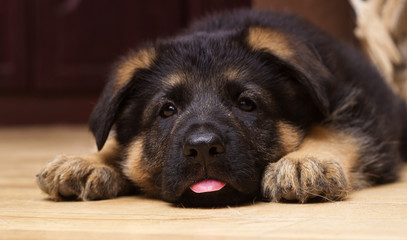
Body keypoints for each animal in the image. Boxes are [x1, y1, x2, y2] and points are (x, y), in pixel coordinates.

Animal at [35, 9, 407, 207]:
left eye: (246, 104)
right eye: (167, 110)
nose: (202, 149)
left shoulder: (357, 108)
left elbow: (333, 129)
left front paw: (305, 160)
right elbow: (119, 144)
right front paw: (89, 160)